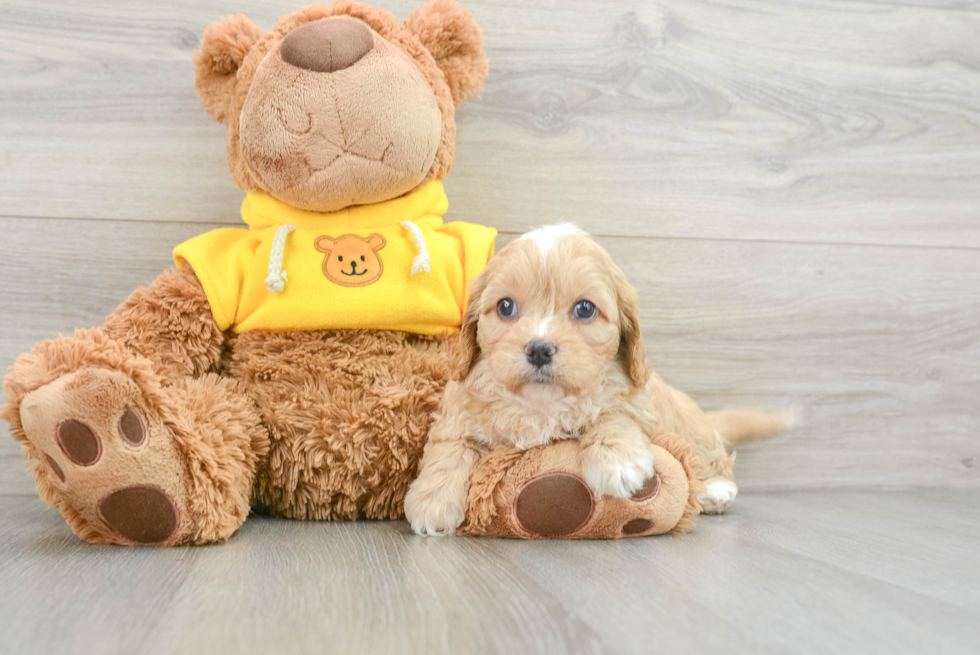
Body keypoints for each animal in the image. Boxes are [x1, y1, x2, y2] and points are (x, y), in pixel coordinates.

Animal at [402, 226, 792, 540]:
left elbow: (613, 414)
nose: (539, 349)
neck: (541, 403)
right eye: (505, 306)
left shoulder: (634, 399)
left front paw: (619, 463)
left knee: (711, 455)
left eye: (585, 309)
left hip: (692, 429)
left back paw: (716, 491)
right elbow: (449, 449)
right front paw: (431, 502)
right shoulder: (460, 410)